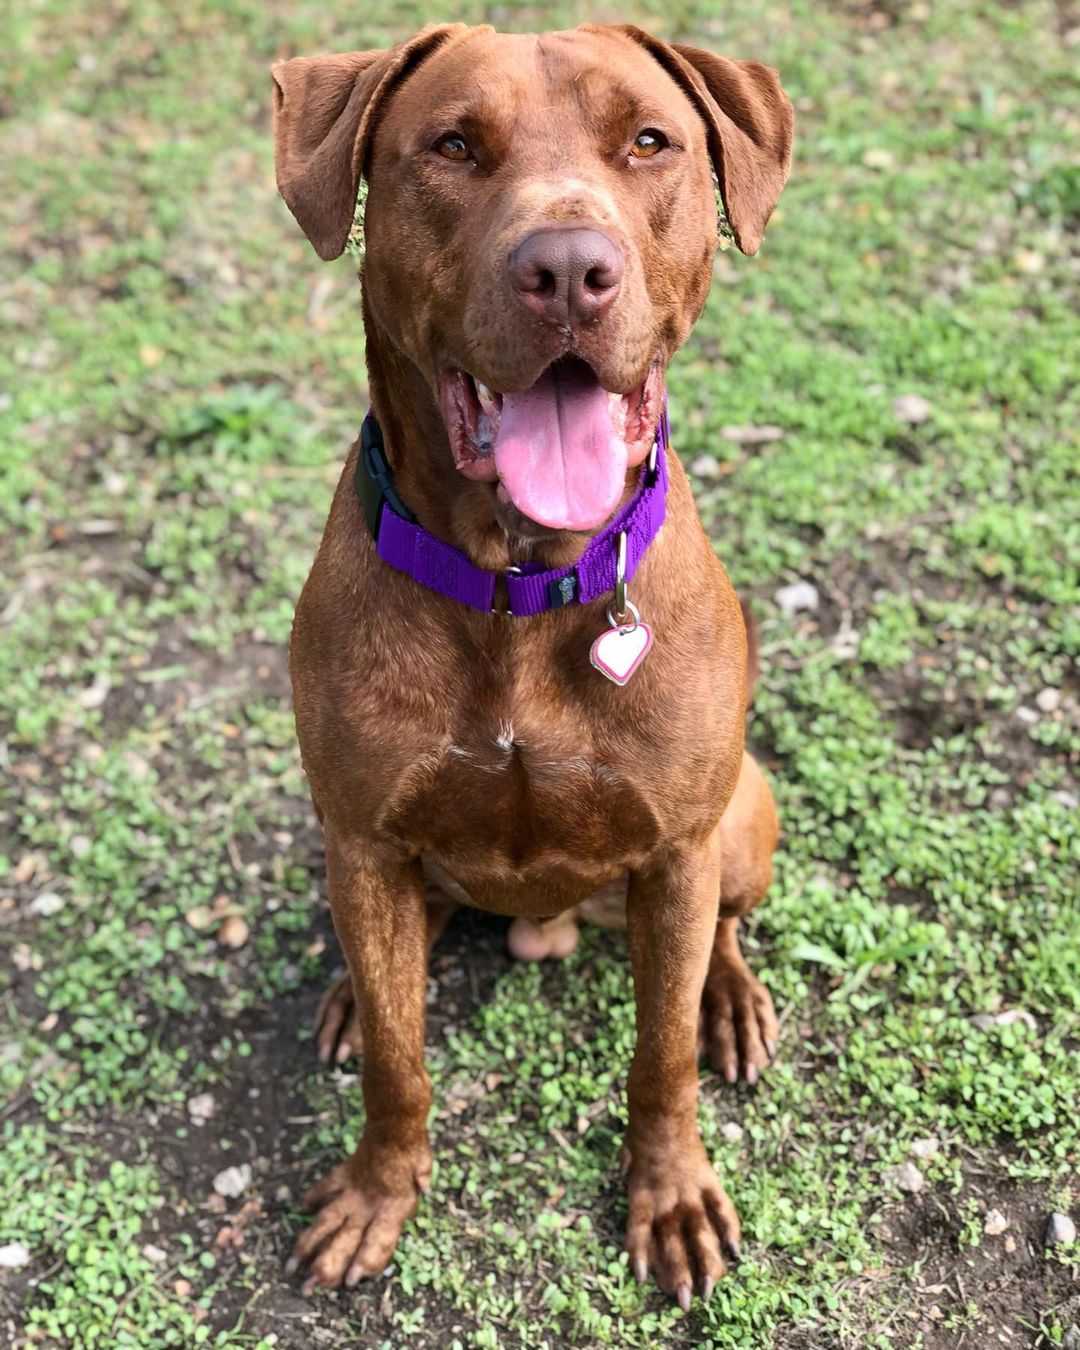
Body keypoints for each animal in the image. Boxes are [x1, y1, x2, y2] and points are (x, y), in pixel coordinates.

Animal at [270, 21, 793, 1306]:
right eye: (453, 146)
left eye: (650, 141)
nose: (566, 270)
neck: (517, 580)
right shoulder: (363, 837)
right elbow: (399, 1063)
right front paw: (377, 1192)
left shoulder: (676, 848)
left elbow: (660, 1059)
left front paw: (672, 1196)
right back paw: (353, 989)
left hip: (741, 813)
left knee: (724, 927)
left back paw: (731, 998)